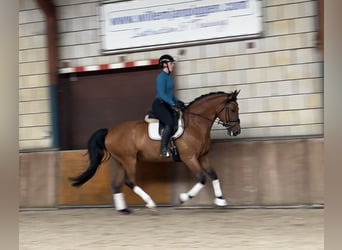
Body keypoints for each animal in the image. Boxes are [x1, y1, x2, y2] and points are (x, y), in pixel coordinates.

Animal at [69, 90, 240, 213]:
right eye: (232, 109)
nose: (236, 131)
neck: (195, 125)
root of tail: (109, 131)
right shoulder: (189, 158)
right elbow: (202, 178)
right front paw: (183, 198)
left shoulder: (202, 157)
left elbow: (214, 175)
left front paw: (221, 201)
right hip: (129, 160)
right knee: (130, 181)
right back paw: (150, 203)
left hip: (120, 161)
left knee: (116, 184)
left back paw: (123, 209)